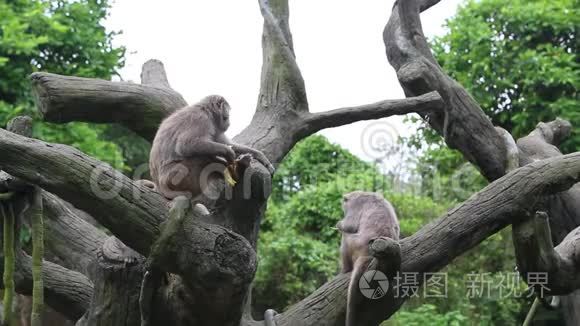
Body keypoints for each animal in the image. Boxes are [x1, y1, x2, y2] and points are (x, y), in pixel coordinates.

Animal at [336, 191, 398, 326]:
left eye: (344, 204)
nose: (343, 209)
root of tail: (367, 253)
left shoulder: (355, 205)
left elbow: (350, 226)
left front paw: (339, 224)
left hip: (354, 245)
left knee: (346, 236)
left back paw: (345, 269)